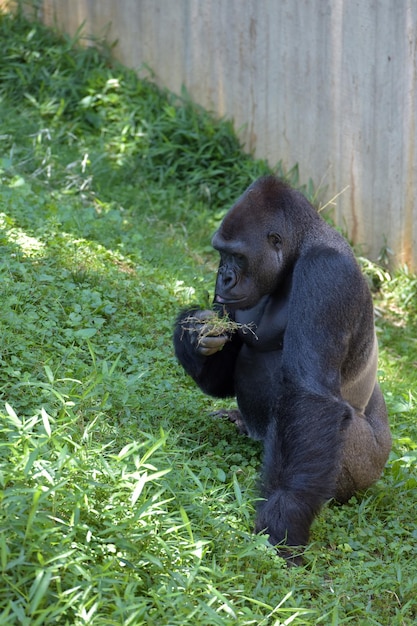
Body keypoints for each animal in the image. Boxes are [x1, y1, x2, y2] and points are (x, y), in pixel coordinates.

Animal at [171, 176, 390, 556]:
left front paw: (284, 518)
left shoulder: (327, 274)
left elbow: (310, 396)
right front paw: (196, 335)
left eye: (237, 256)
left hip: (371, 464)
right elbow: (221, 375)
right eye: (220, 254)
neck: (298, 251)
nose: (223, 278)